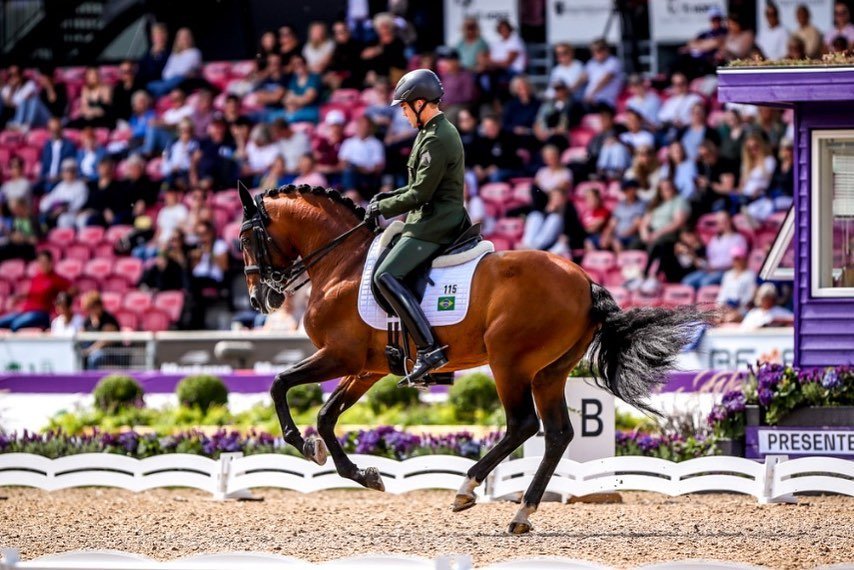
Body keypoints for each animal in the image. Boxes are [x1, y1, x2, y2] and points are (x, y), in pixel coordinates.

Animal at [238, 184, 705, 534]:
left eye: (245, 240)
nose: (261, 300)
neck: (343, 263)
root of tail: (585, 281)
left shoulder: (340, 355)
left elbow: (281, 385)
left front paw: (304, 446)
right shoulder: (366, 368)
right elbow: (326, 416)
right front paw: (362, 474)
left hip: (508, 362)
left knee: (523, 425)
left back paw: (467, 488)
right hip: (549, 372)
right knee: (557, 433)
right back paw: (522, 512)